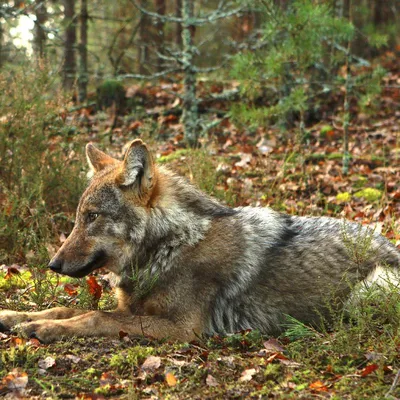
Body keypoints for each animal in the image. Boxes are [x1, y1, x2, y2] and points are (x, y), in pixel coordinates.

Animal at [0, 139, 400, 342]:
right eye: (79, 216)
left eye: (92, 217)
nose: (52, 264)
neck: (172, 245)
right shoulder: (133, 308)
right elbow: (66, 308)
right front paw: (18, 317)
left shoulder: (182, 328)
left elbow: (94, 317)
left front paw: (45, 329)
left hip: (371, 287)